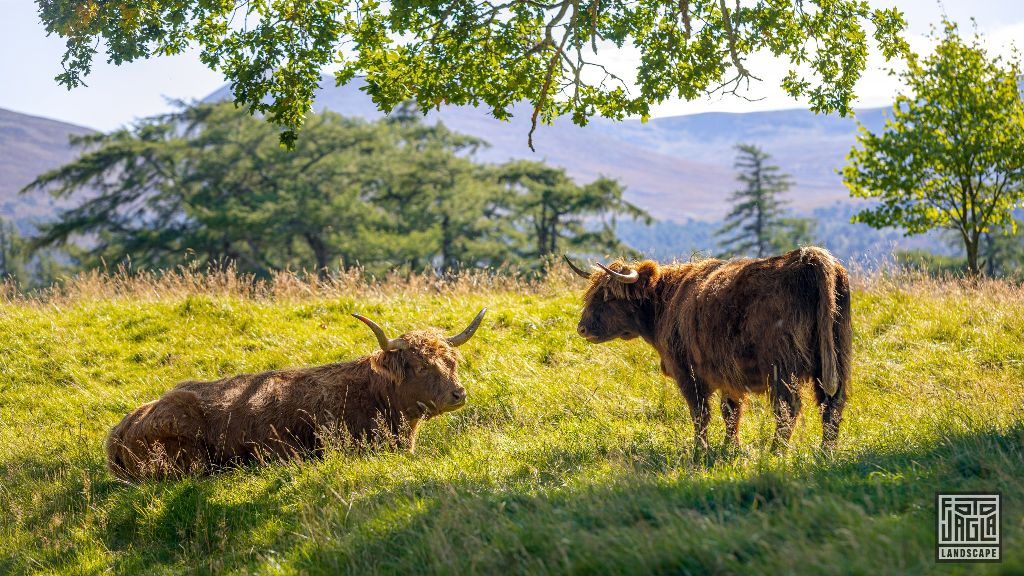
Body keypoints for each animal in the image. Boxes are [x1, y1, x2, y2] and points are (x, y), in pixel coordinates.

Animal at [565, 247, 851, 453]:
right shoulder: (728, 374)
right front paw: (730, 447)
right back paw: (826, 453)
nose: (582, 328)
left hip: (782, 367)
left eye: (608, 296)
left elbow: (700, 413)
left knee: (787, 408)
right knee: (832, 405)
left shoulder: (688, 372)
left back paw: (776, 452)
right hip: (836, 357)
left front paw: (700, 450)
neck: (667, 301)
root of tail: (809, 257)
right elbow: (730, 411)